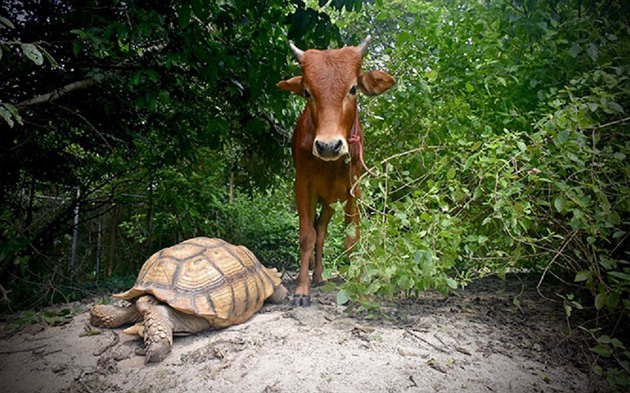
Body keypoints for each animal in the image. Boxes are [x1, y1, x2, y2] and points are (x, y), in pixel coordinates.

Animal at [278, 36, 396, 306]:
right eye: (307, 92)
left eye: (353, 89)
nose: (328, 146)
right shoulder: (302, 184)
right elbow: (306, 236)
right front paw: (302, 290)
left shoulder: (354, 189)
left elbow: (352, 239)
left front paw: (357, 285)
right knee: (317, 232)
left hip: (333, 201)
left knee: (322, 230)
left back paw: (320, 276)